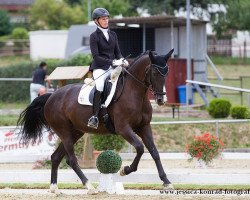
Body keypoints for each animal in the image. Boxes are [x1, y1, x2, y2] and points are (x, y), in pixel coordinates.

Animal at [17, 48, 174, 194]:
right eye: (155, 72)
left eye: (167, 73)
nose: (161, 99)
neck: (135, 93)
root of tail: (51, 96)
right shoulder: (123, 128)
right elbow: (140, 148)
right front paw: (125, 170)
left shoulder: (144, 127)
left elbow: (154, 152)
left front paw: (166, 181)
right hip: (64, 131)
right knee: (71, 159)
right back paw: (89, 186)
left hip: (75, 132)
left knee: (56, 157)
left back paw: (54, 188)